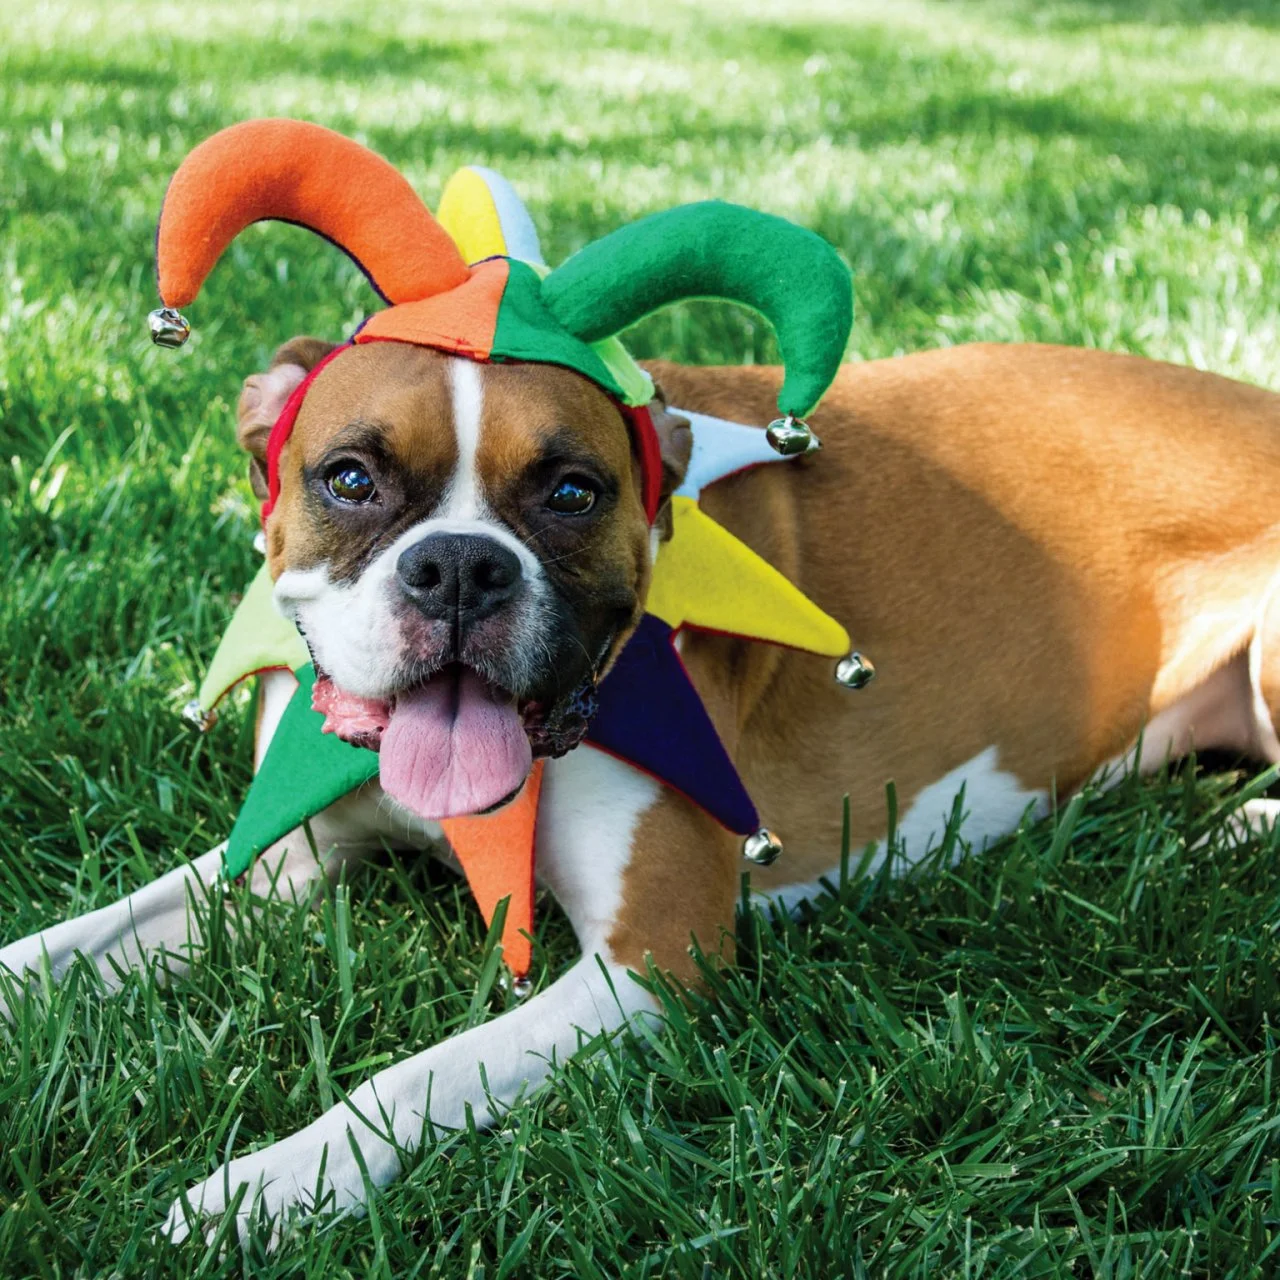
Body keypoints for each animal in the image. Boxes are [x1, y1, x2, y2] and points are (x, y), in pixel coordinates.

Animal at [2, 332, 1280, 1239]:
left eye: (571, 491)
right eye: (351, 478)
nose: (457, 566)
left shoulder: (651, 961)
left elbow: (418, 1076)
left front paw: (264, 1185)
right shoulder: (283, 863)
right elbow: (75, 941)